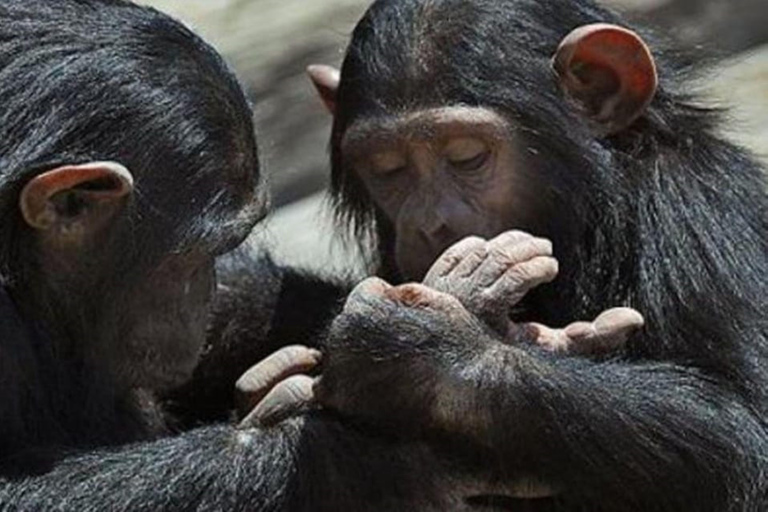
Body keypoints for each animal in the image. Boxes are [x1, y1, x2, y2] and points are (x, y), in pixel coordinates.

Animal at [302, 0, 768, 510]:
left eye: (467, 155)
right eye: (388, 168)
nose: (428, 223)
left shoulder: (693, 217)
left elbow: (739, 431)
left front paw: (412, 349)